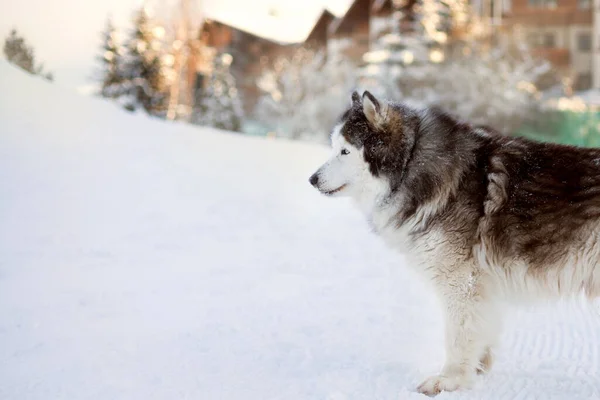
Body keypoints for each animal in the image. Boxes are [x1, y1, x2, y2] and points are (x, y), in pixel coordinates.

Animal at [310, 91, 600, 396]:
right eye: (333, 147)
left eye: (345, 151)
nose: (312, 179)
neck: (412, 166)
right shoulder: (481, 287)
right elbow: (481, 334)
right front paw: (477, 369)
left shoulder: (461, 283)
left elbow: (457, 336)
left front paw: (450, 380)